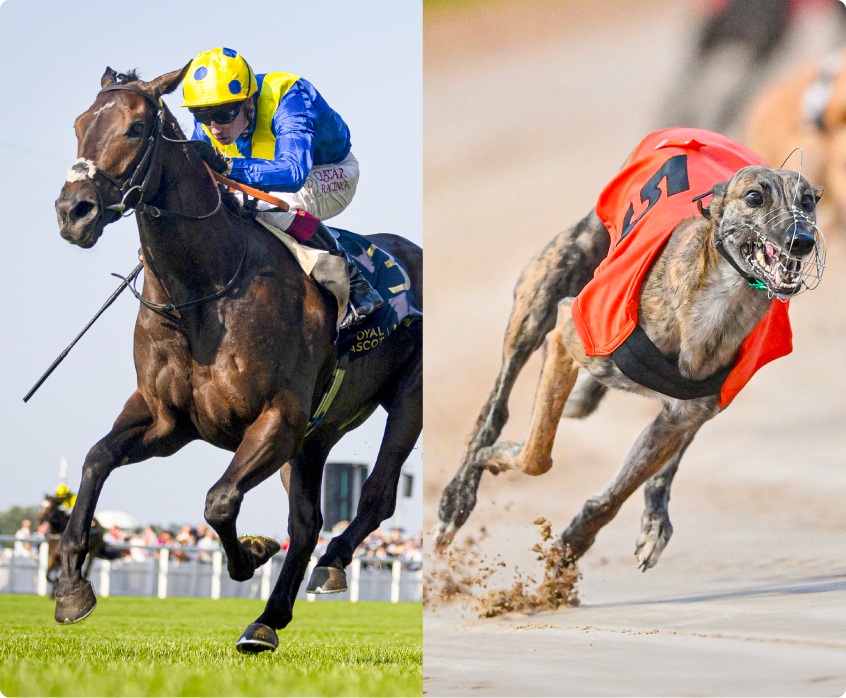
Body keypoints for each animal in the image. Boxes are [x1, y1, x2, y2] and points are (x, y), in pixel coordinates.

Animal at [52, 64, 422, 652]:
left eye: (136, 128)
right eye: (79, 125)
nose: (73, 212)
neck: (204, 292)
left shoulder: (278, 417)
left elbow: (219, 501)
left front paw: (250, 553)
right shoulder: (167, 419)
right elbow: (95, 459)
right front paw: (70, 588)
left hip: (406, 400)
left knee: (375, 497)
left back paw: (331, 565)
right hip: (316, 436)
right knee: (307, 521)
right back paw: (268, 619)